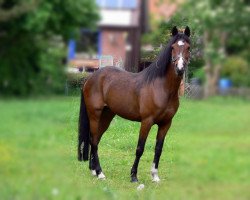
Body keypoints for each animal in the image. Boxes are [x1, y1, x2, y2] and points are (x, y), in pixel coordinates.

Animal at [78, 26, 191, 183]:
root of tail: (90, 78)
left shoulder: (166, 123)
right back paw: (100, 173)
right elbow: (140, 148)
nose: (179, 69)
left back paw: (93, 170)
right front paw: (133, 176)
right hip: (95, 114)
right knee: (93, 140)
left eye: (188, 47)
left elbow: (158, 149)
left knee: (95, 139)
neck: (161, 88)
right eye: (173, 47)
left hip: (106, 116)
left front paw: (155, 176)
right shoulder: (147, 121)